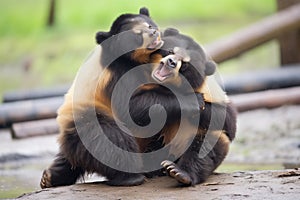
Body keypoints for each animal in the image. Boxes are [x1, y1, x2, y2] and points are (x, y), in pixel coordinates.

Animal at [40, 7, 164, 188]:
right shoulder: (117, 73)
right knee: (110, 140)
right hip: (88, 116)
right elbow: (131, 107)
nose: (154, 33)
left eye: (149, 25)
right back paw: (130, 177)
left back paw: (50, 177)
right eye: (137, 35)